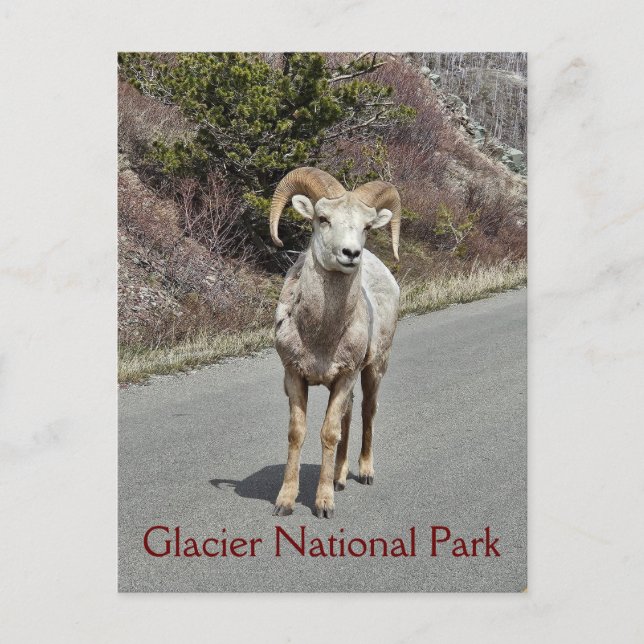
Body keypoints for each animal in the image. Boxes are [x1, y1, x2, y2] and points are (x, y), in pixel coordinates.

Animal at [269, 167, 401, 519]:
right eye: (323, 218)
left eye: (367, 226)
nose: (350, 254)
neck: (320, 338)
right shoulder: (295, 376)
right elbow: (297, 433)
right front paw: (285, 502)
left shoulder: (345, 376)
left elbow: (329, 433)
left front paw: (324, 503)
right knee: (349, 416)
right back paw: (340, 477)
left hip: (373, 369)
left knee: (367, 412)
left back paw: (364, 472)